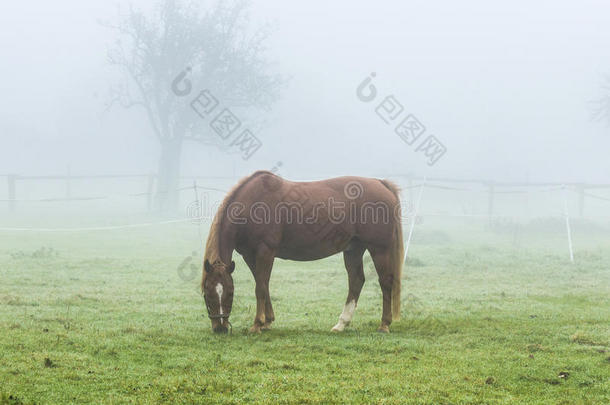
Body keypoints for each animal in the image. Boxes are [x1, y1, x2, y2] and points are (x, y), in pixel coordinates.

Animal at [202, 170, 404, 332]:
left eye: (230, 293)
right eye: (206, 292)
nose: (219, 328)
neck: (253, 202)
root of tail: (381, 183)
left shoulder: (265, 251)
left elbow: (260, 288)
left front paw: (257, 324)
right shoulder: (249, 256)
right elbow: (264, 285)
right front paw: (267, 321)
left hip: (379, 248)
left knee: (385, 281)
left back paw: (384, 324)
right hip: (354, 249)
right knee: (356, 281)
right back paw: (341, 324)